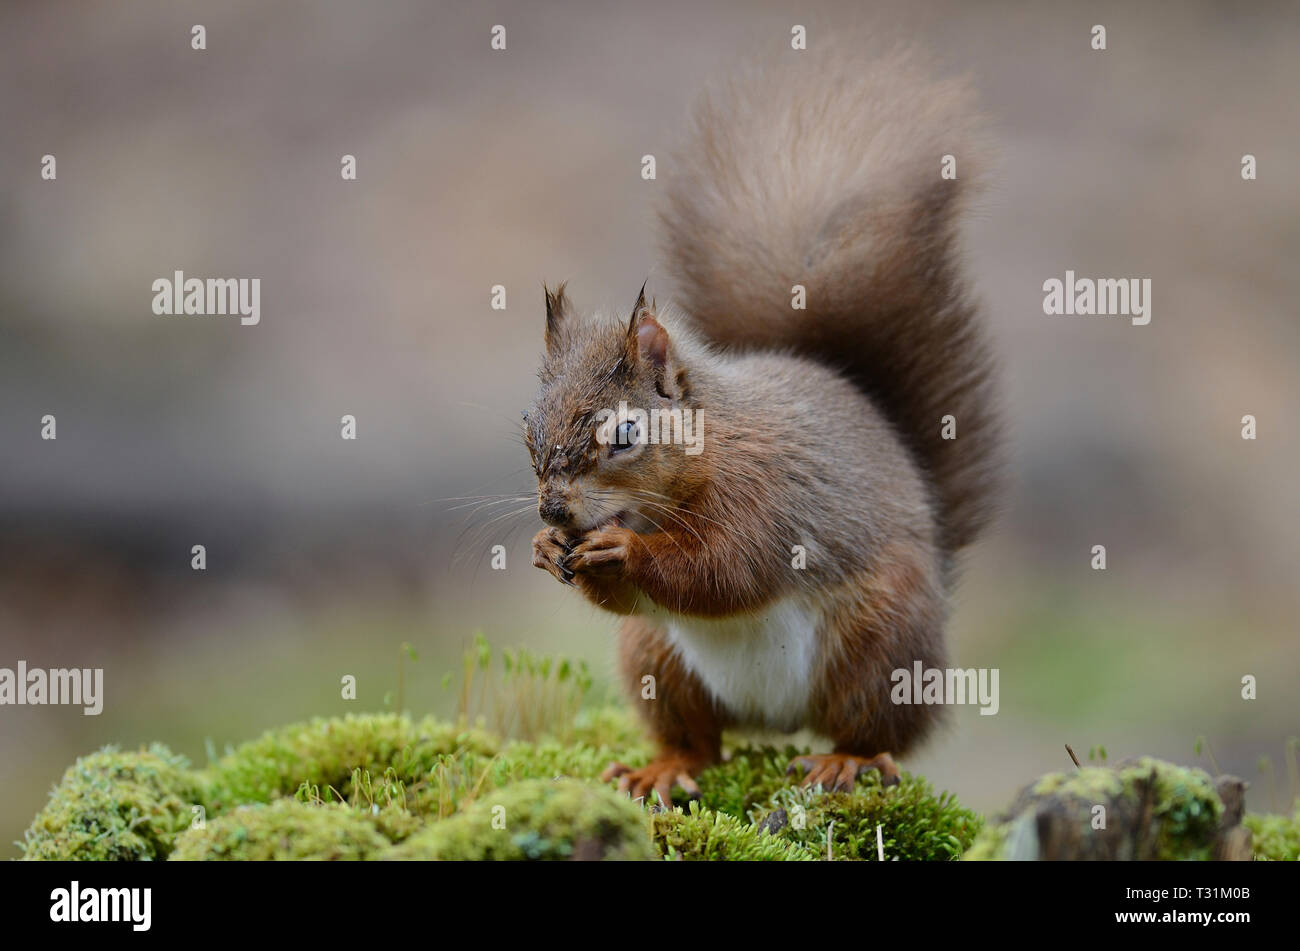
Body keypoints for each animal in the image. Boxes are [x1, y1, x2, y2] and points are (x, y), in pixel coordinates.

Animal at [522, 48, 998, 805]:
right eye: (527, 430)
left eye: (624, 436)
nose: (552, 510)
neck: (709, 450)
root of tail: (776, 722)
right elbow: (637, 601)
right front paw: (546, 549)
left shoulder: (766, 499)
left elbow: (724, 572)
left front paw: (625, 550)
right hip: (655, 660)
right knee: (699, 741)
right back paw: (662, 768)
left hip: (880, 641)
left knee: (880, 731)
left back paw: (846, 761)